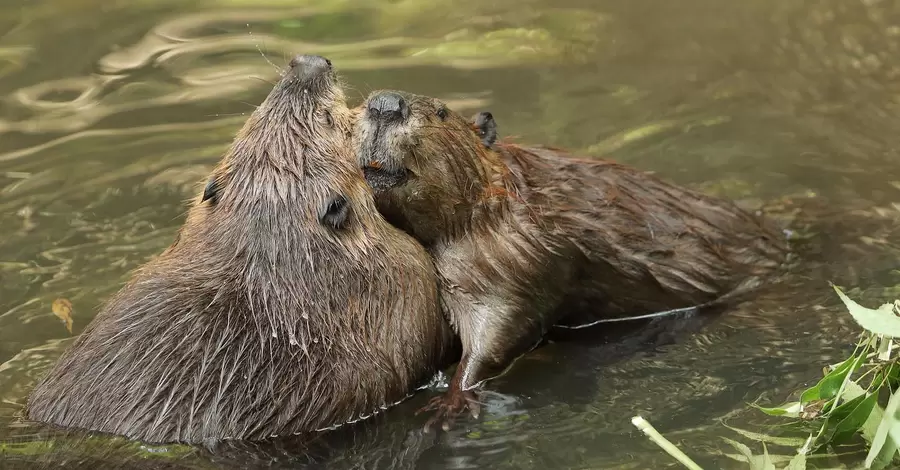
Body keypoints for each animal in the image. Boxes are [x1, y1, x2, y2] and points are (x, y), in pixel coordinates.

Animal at [352, 90, 788, 432]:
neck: (501, 199)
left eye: (442, 111)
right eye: (361, 101)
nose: (385, 104)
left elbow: (500, 326)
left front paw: (450, 401)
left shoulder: (520, 252)